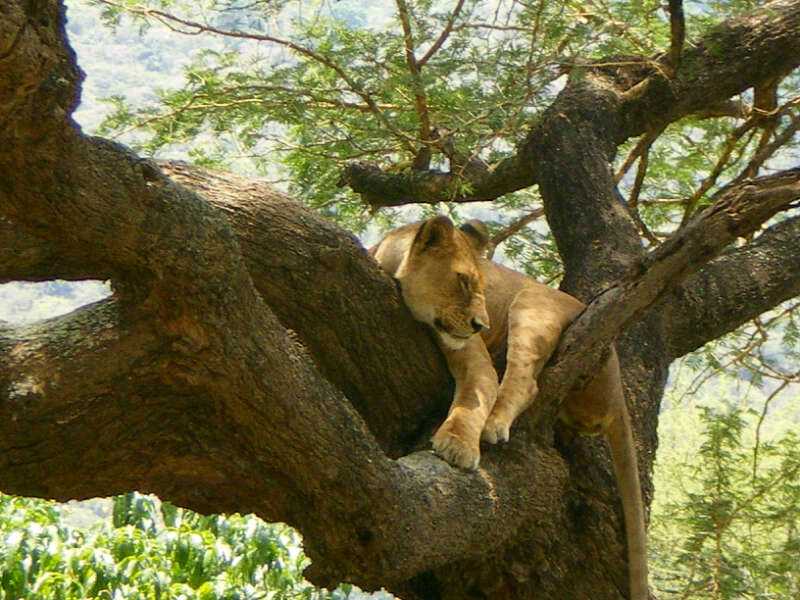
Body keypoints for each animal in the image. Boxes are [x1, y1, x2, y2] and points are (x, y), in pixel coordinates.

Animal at [371, 215, 648, 600]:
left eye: (481, 284)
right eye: (463, 281)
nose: (481, 325)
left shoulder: (474, 355)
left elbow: (474, 398)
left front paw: (457, 446)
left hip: (531, 304)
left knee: (525, 381)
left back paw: (493, 426)